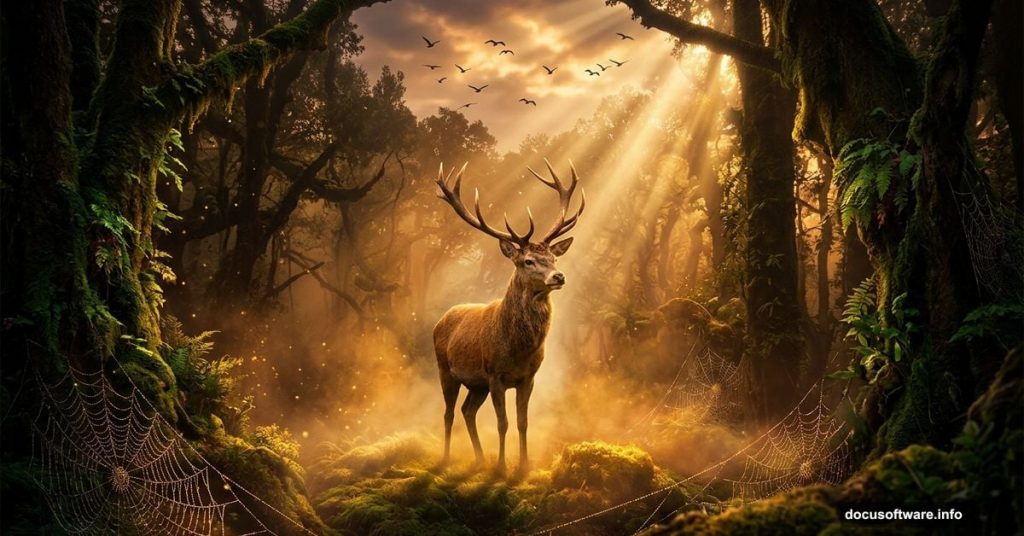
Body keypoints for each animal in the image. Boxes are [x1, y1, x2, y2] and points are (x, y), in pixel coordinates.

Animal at [433, 160, 585, 475]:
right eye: (528, 261)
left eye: (554, 258)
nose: (559, 276)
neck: (517, 350)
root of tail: (442, 318)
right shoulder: (495, 375)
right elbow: (502, 423)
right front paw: (502, 467)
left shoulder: (528, 377)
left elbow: (522, 422)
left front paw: (524, 465)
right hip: (445, 370)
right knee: (449, 413)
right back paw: (446, 458)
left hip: (476, 384)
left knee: (467, 411)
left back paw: (479, 459)